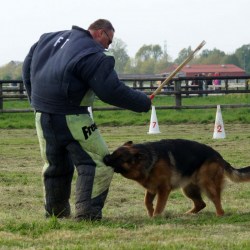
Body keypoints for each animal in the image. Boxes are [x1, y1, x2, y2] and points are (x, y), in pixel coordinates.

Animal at [103, 139, 250, 217]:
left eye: (119, 158)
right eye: (113, 154)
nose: (105, 158)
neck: (149, 160)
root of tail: (219, 156)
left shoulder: (163, 189)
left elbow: (159, 205)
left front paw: (156, 217)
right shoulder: (151, 188)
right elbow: (147, 202)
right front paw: (150, 214)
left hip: (207, 184)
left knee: (216, 201)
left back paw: (219, 215)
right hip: (188, 189)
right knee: (201, 204)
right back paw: (188, 214)